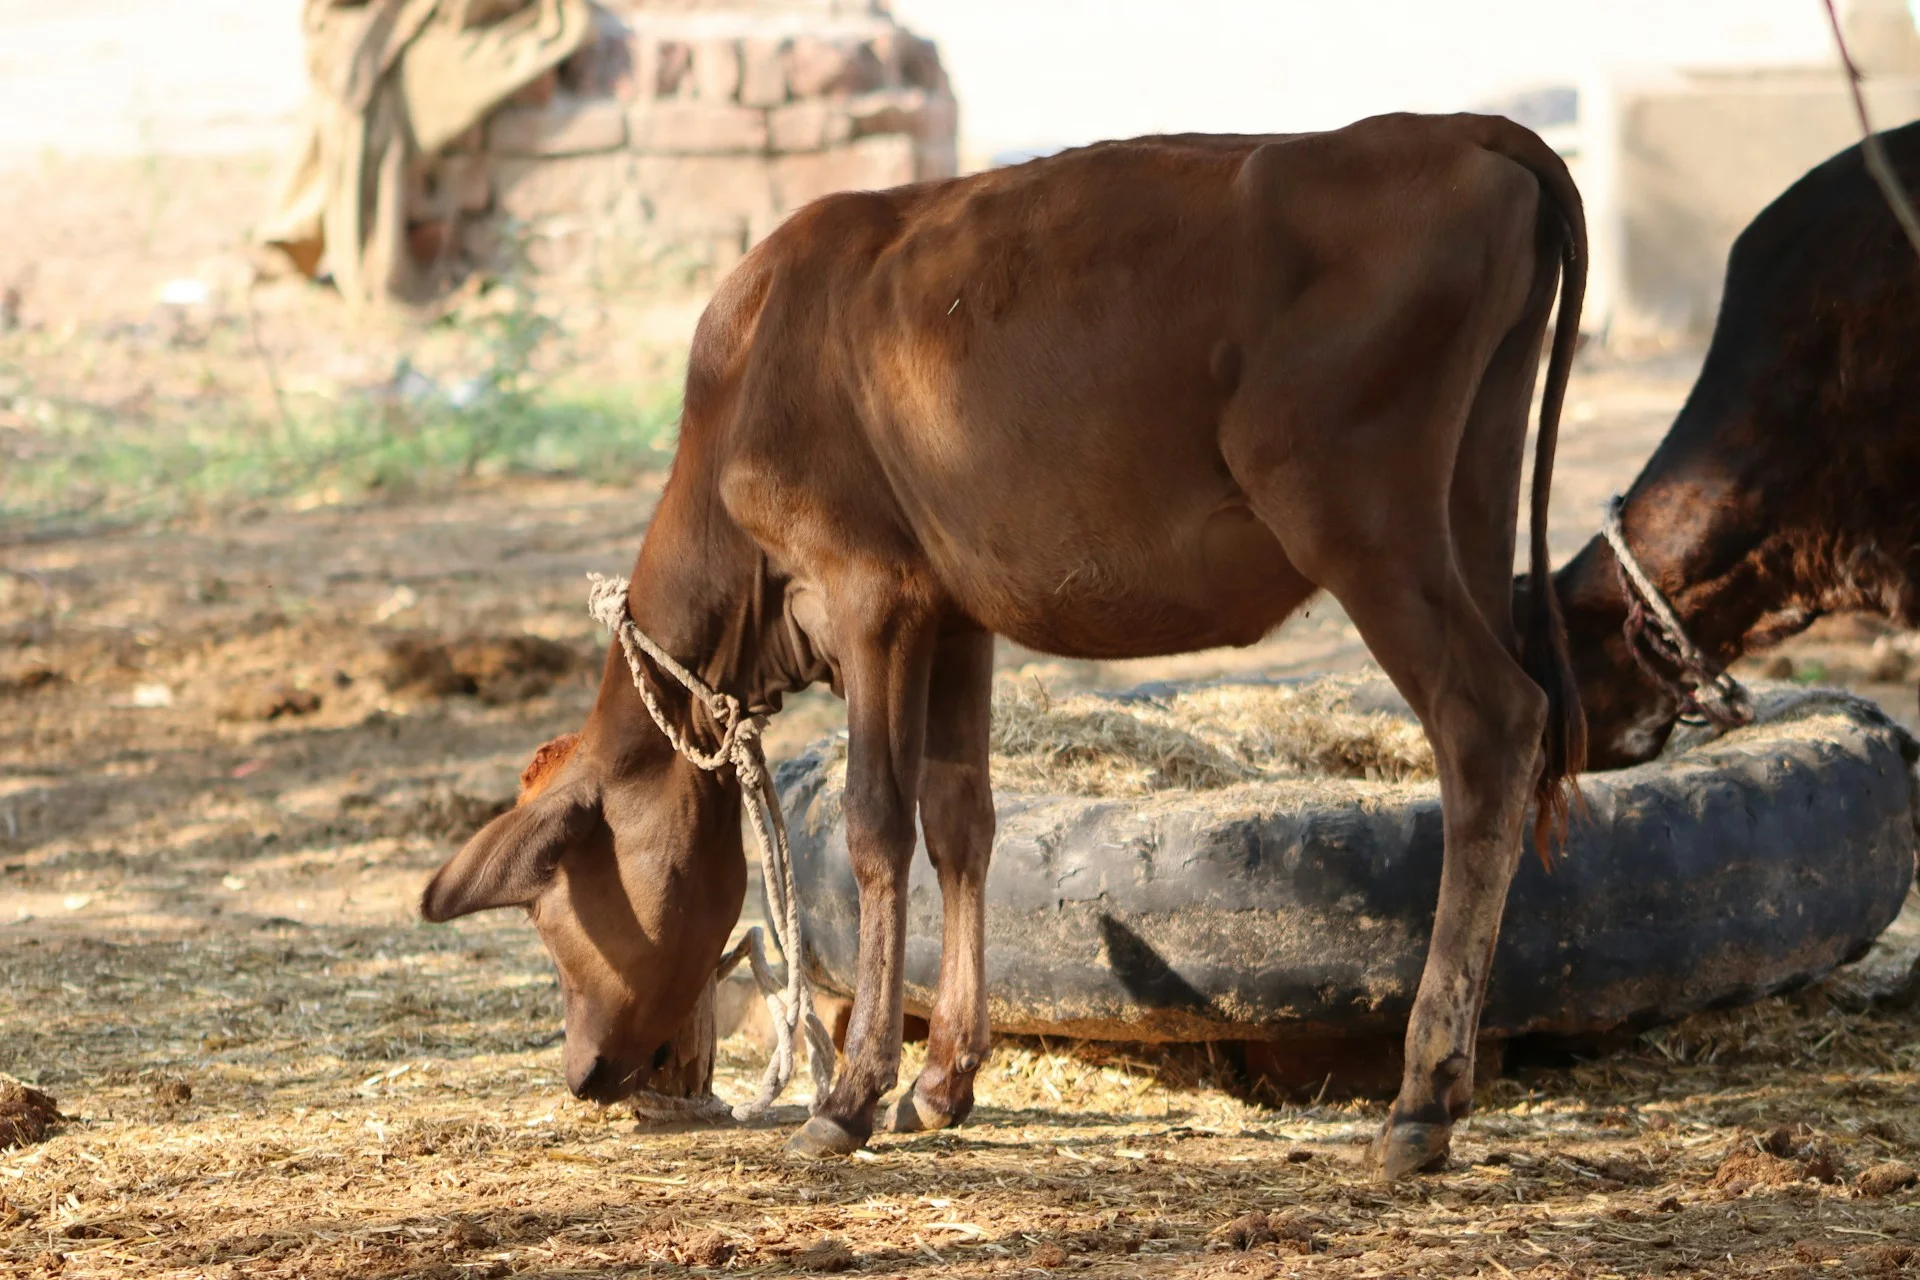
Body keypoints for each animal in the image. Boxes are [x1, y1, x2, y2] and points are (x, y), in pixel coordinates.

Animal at [419, 111, 1587, 1180]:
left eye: (550, 912)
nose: (582, 1074)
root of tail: (1459, 128)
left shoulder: (870, 592)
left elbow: (876, 822)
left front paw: (848, 1095)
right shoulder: (953, 612)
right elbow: (960, 816)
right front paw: (942, 1083)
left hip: (1356, 513)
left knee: (1488, 723)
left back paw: (1422, 1095)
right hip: (1472, 494)